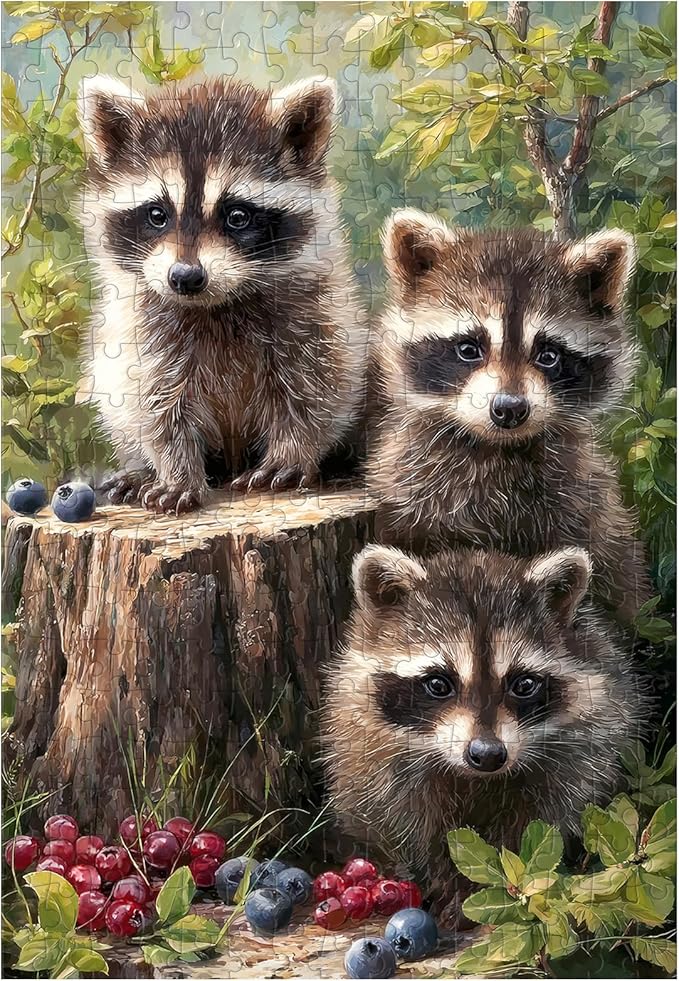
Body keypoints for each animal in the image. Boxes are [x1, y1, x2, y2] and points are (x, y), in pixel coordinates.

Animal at [77, 75, 368, 513]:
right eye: (157, 214)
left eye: (238, 216)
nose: (185, 277)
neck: (215, 305)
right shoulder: (145, 330)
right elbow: (155, 403)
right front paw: (176, 469)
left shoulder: (313, 314)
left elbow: (316, 389)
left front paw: (292, 451)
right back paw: (141, 470)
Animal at [322, 544, 649, 926]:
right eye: (438, 683)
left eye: (523, 684)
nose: (488, 754)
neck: (471, 778)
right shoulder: (370, 752)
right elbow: (400, 822)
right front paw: (438, 878)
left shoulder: (580, 747)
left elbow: (542, 818)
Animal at [368, 210, 649, 621]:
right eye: (469, 348)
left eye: (548, 354)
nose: (509, 408)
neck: (497, 447)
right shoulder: (413, 491)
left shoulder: (580, 505)